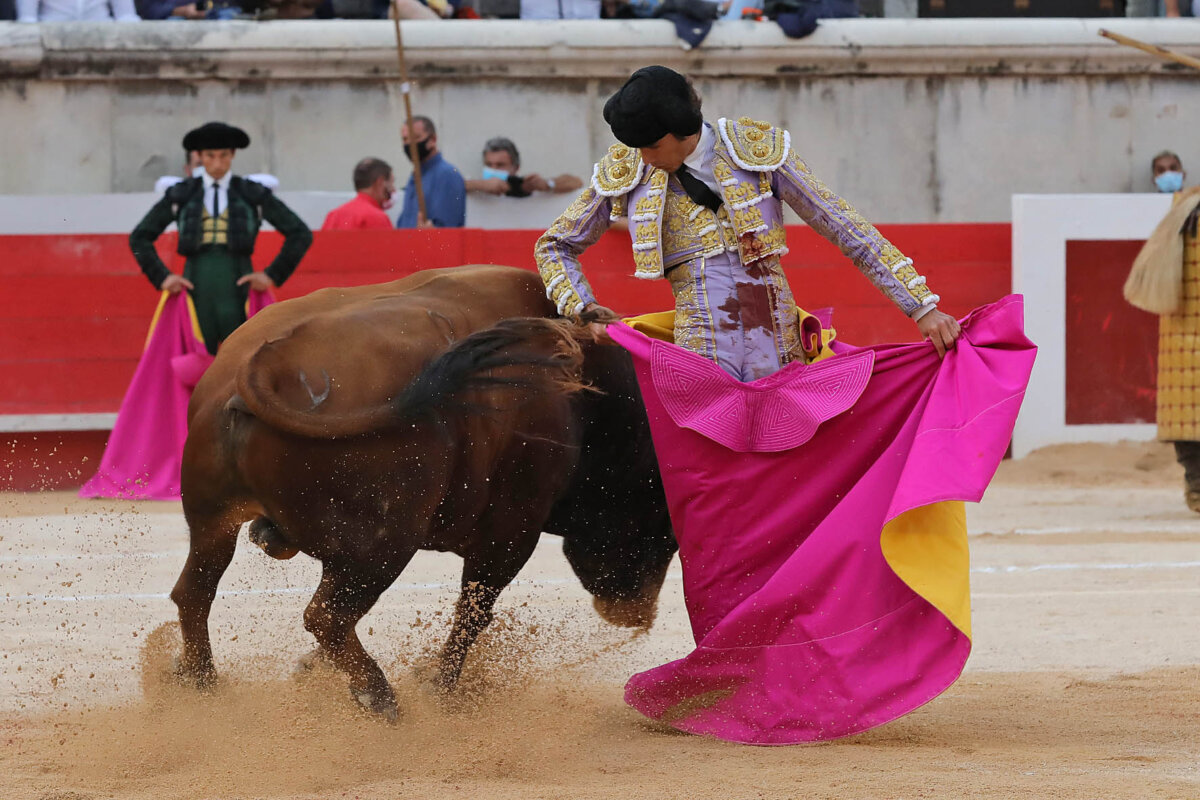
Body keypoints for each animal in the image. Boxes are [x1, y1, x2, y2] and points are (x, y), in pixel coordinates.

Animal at [169, 265, 677, 720]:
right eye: (665, 529)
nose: (636, 614)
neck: (590, 406)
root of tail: (262, 365)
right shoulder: (512, 531)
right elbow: (474, 612)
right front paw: (440, 689)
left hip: (214, 520)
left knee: (194, 593)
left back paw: (200, 684)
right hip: (381, 547)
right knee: (328, 616)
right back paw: (379, 697)